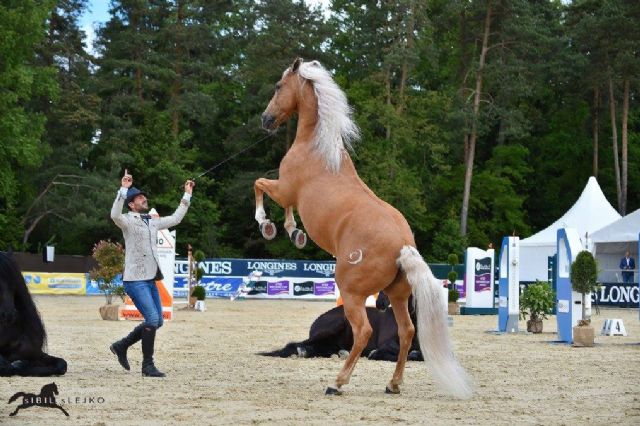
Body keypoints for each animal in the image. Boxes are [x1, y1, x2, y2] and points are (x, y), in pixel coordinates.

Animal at [255, 58, 470, 398]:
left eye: (278, 86)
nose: (266, 119)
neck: (316, 148)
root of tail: (403, 246)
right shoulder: (287, 194)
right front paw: (294, 233)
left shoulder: (284, 189)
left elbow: (259, 186)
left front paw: (269, 226)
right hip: (397, 296)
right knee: (407, 331)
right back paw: (393, 384)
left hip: (352, 293)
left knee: (363, 332)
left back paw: (337, 382)